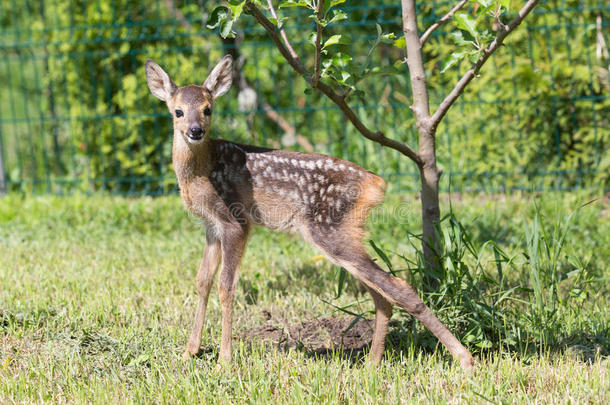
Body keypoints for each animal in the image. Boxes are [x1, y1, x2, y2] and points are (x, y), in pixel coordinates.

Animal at [145, 55, 472, 370]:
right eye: (178, 111)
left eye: (208, 109)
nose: (195, 131)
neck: (202, 171)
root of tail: (376, 183)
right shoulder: (211, 227)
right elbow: (202, 282)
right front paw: (189, 353)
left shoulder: (236, 221)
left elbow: (226, 286)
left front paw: (224, 361)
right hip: (342, 233)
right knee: (382, 295)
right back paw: (372, 364)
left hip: (328, 229)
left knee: (398, 286)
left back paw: (464, 360)